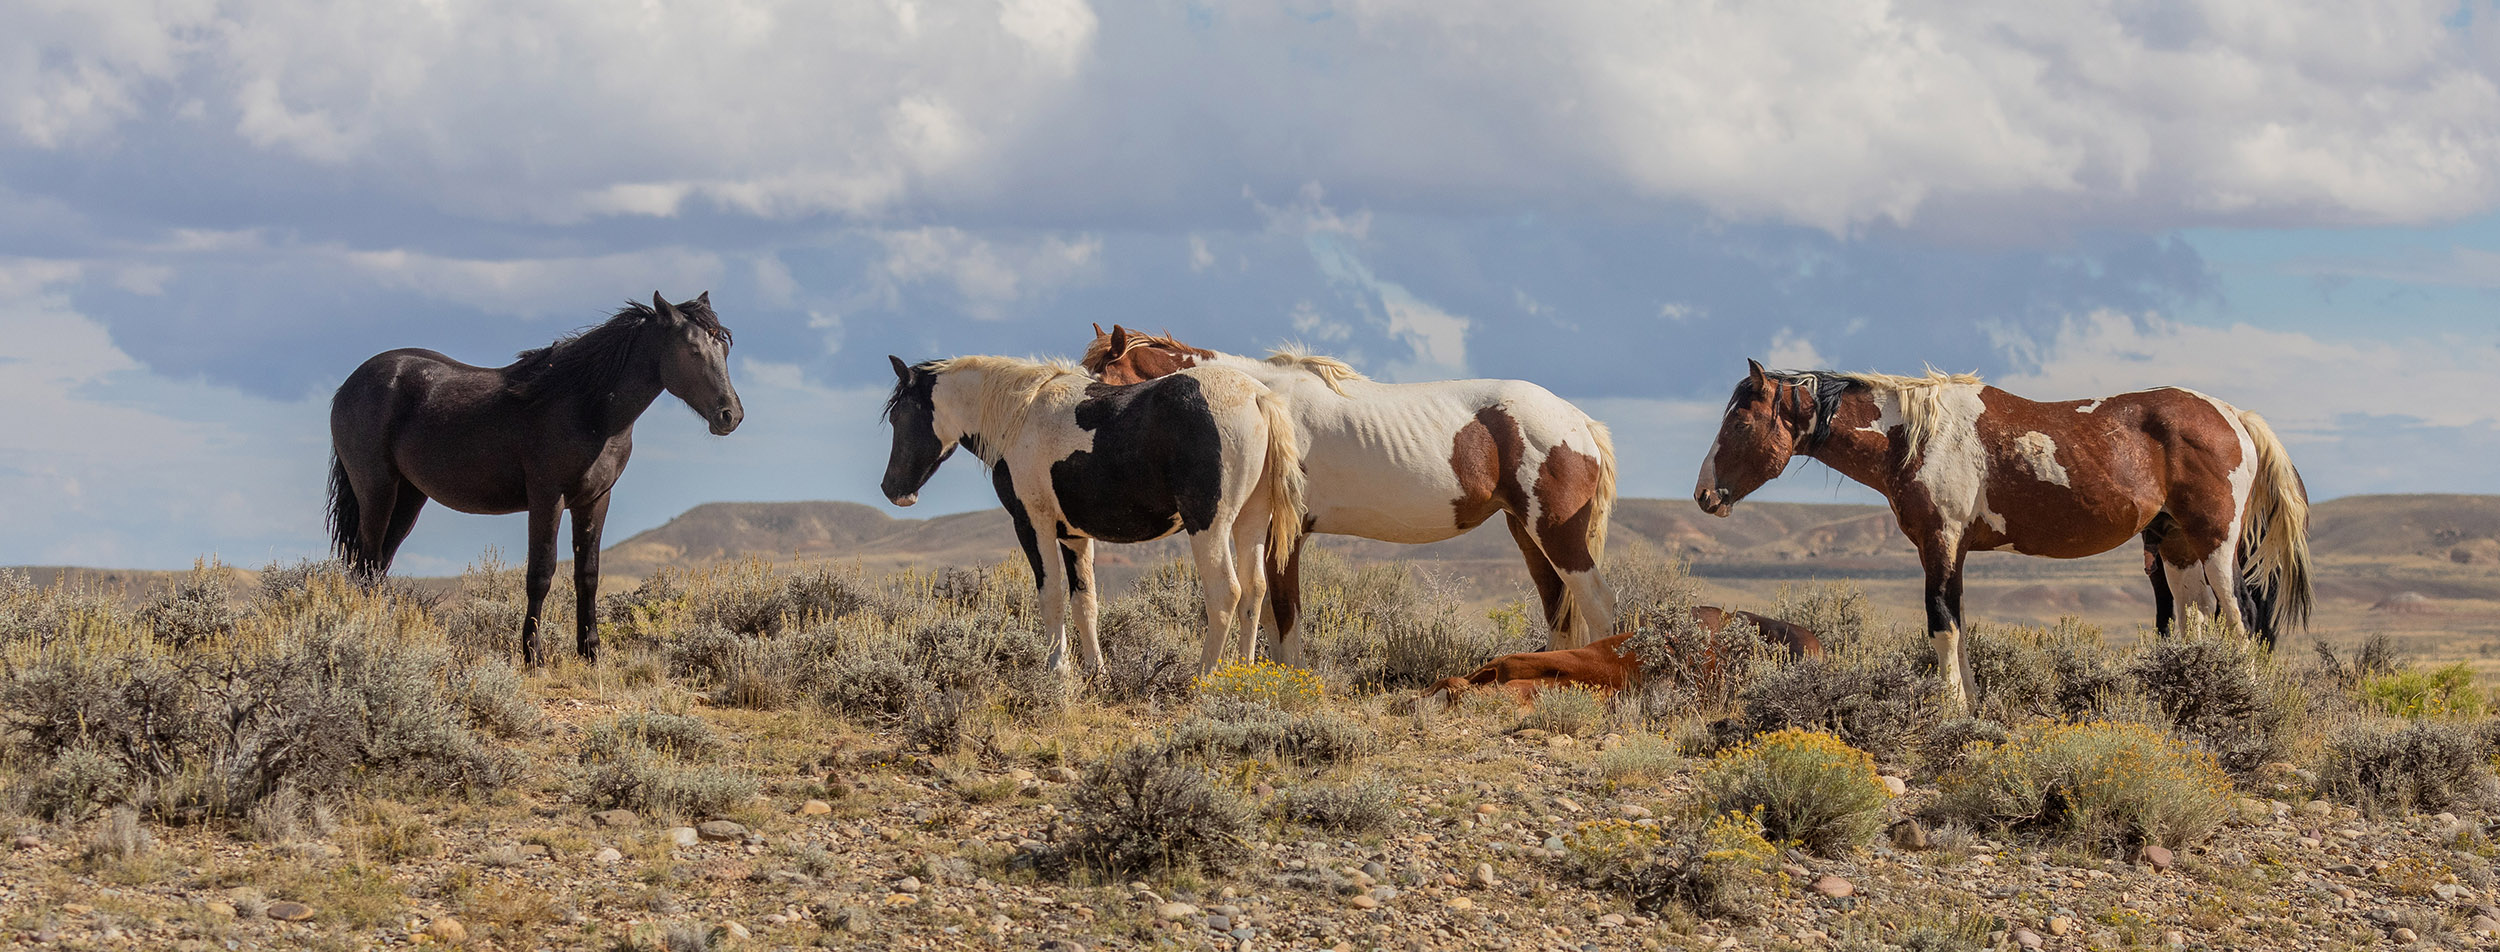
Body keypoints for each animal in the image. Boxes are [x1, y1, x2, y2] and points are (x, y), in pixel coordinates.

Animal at [328, 293, 742, 665]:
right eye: (692, 349)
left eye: (723, 348)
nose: (731, 415)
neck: (587, 408)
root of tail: (350, 384)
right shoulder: (547, 497)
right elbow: (541, 573)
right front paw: (532, 655)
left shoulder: (595, 500)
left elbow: (587, 574)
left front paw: (591, 652)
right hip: (377, 490)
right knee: (366, 562)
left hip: (409, 497)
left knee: (377, 565)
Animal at [879, 354, 1305, 674]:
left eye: (899, 416)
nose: (892, 489)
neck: (1021, 416)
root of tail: (1257, 397)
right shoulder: (1074, 535)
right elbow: (1085, 603)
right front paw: (1095, 671)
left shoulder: (1032, 525)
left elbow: (1051, 596)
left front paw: (1057, 670)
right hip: (1251, 522)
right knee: (1254, 591)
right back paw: (1240, 673)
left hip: (1209, 527)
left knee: (1225, 593)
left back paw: (1203, 676)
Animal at [1081, 325, 1620, 658]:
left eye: (1101, 376)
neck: (1261, 400)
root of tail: (1580, 422)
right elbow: (1271, 616)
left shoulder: (1284, 537)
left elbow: (1285, 618)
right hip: (1528, 534)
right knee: (1558, 608)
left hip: (1556, 534)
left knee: (1598, 603)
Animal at [1693, 360, 2312, 712]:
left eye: (1741, 421)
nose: (1703, 495)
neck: (1915, 435)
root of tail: (2234, 416)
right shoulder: (1955, 550)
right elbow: (1960, 625)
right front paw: (1969, 706)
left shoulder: (1939, 543)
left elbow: (1942, 625)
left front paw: (1946, 708)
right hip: (2176, 546)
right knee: (2195, 618)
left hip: (2216, 543)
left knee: (2242, 617)